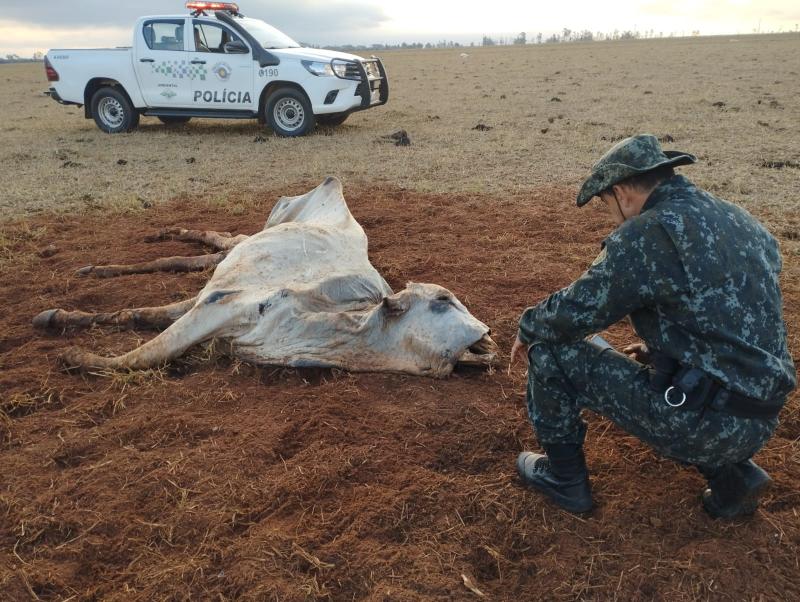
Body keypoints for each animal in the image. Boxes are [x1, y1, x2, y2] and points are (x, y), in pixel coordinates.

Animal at [37, 176, 500, 378]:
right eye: (443, 299)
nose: (489, 334)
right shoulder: (221, 306)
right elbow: (148, 353)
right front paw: (74, 354)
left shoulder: (214, 305)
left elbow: (148, 319)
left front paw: (67, 320)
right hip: (262, 229)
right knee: (213, 241)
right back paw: (152, 238)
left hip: (238, 252)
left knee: (206, 254)